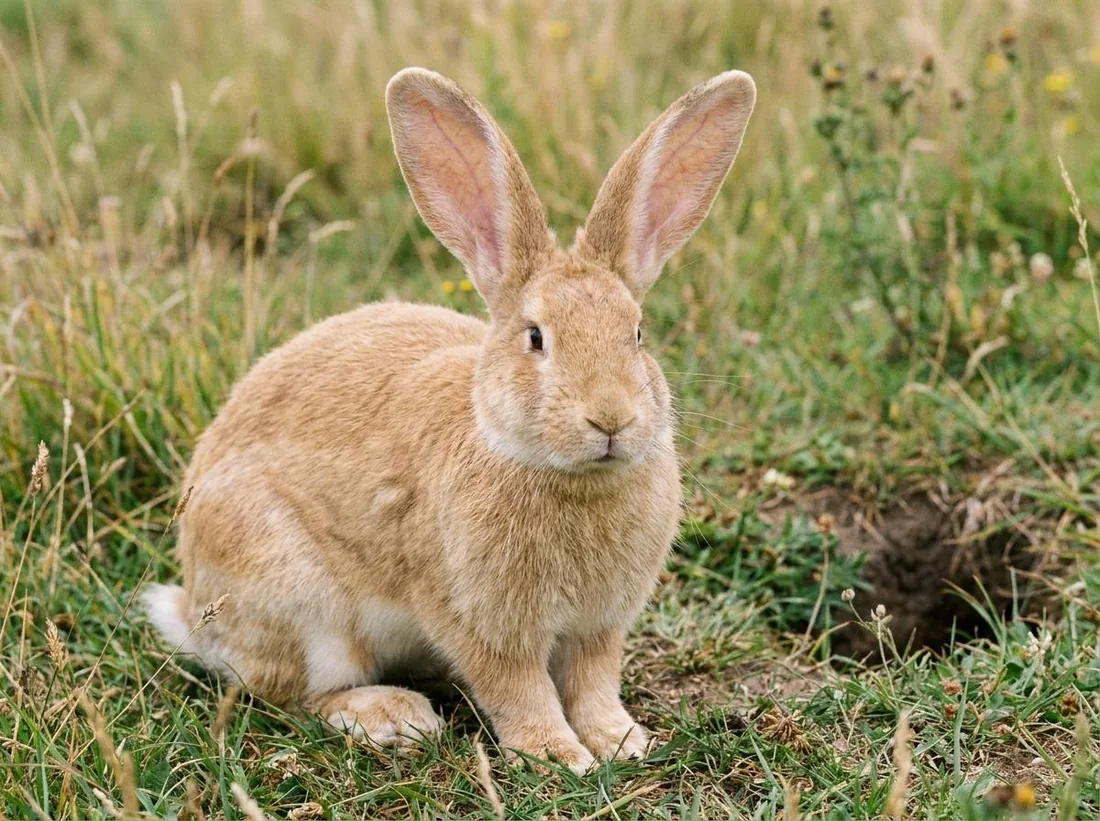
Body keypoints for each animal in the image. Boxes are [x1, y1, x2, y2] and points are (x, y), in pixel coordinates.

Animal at [143, 66, 755, 773]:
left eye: (637, 334)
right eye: (536, 338)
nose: (611, 419)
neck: (571, 479)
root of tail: (192, 605)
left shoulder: (599, 627)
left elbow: (594, 683)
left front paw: (621, 741)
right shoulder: (479, 622)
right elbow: (518, 688)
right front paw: (557, 755)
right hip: (301, 603)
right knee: (290, 695)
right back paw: (392, 716)